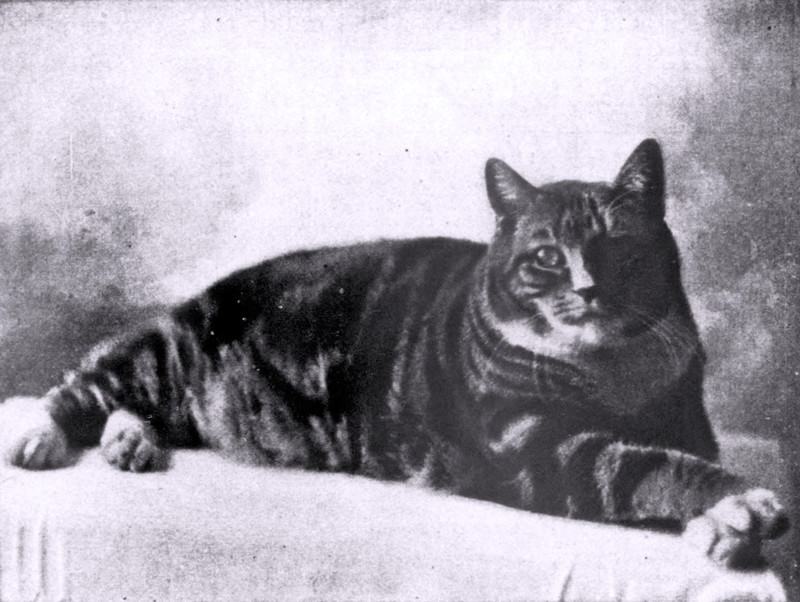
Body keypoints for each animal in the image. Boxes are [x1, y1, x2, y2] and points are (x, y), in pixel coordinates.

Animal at [3, 139, 788, 568]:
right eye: (546, 258)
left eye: (619, 248)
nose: (590, 290)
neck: (612, 374)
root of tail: (208, 290)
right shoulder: (538, 450)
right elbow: (651, 467)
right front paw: (740, 505)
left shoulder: (686, 418)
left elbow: (682, 455)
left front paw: (726, 533)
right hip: (161, 357)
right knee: (82, 385)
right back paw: (46, 435)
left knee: (139, 411)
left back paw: (128, 442)